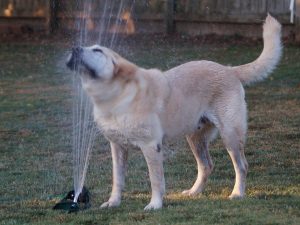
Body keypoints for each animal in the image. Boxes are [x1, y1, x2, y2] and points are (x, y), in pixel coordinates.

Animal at [65, 14, 282, 210]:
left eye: (97, 50)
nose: (74, 48)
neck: (114, 96)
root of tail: (229, 69)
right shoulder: (117, 147)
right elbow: (117, 179)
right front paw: (113, 202)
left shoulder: (151, 146)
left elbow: (155, 179)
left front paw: (155, 205)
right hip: (195, 137)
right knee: (206, 166)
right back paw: (194, 192)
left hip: (230, 135)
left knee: (241, 166)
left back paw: (237, 193)